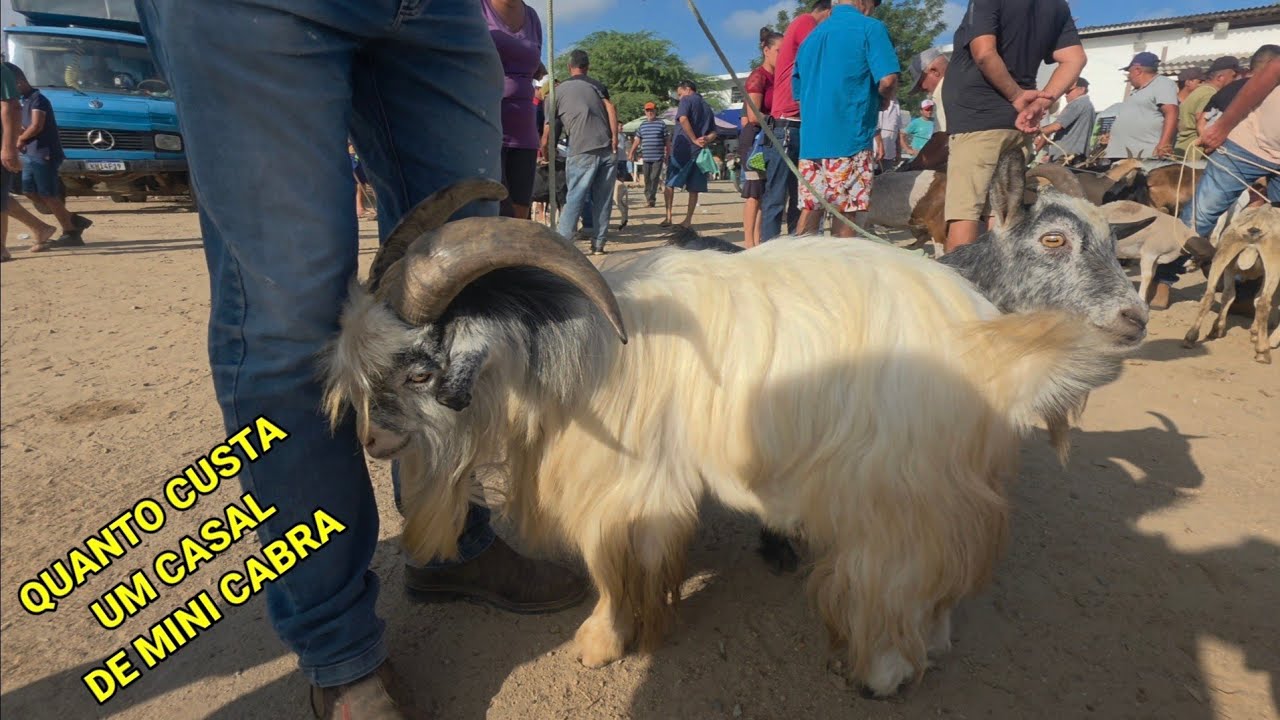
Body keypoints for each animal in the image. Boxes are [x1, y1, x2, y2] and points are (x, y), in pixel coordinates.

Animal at [324, 178, 1139, 697]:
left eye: (421, 370)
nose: (372, 443)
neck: (575, 342)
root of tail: (985, 337)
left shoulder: (625, 484)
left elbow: (610, 566)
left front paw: (601, 643)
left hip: (895, 482)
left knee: (901, 569)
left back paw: (878, 672)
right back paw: (926, 648)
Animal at [1184, 204, 1280, 363]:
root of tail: (1257, 221)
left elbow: (1231, 296)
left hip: (1225, 254)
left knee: (1211, 295)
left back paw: (1193, 337)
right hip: (1273, 263)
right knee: (1264, 303)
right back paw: (1263, 352)